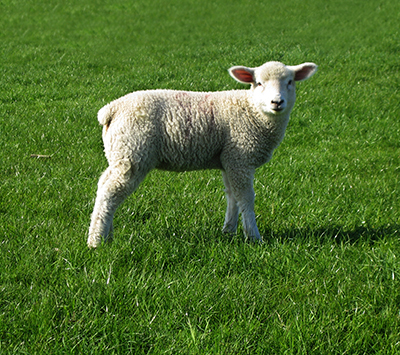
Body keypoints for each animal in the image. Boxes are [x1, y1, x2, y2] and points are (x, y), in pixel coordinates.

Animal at [86, 60, 316, 248]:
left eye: (290, 81)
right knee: (110, 192)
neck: (252, 110)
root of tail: (111, 109)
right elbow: (246, 197)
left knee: (104, 185)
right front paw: (253, 236)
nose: (277, 102)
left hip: (120, 154)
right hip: (133, 153)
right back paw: (96, 242)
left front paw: (228, 231)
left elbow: (232, 196)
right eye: (258, 83)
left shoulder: (229, 159)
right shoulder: (240, 158)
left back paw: (106, 235)